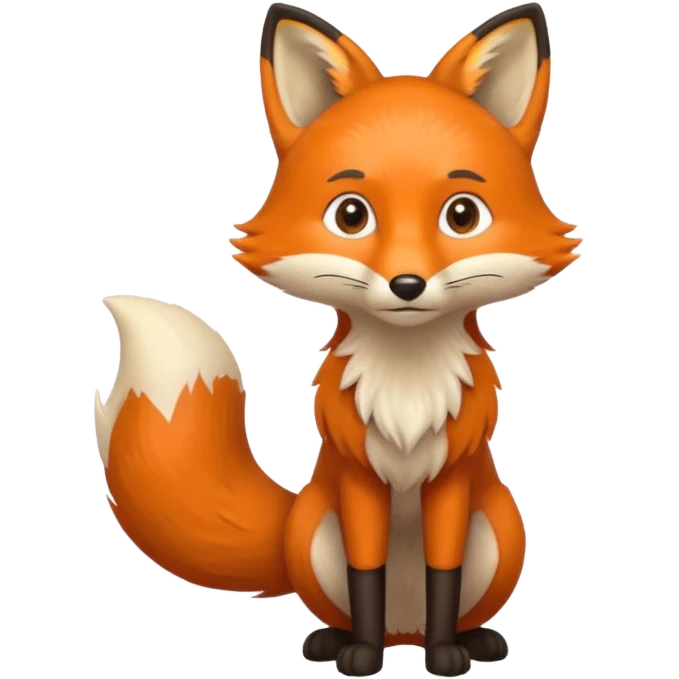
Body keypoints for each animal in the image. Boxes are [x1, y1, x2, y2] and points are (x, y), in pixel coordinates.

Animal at [94, 2, 581, 677]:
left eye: (462, 215)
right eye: (351, 215)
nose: (408, 284)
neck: (407, 385)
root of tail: (406, 631)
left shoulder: (451, 484)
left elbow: (445, 572)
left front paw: (446, 656)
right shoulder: (358, 481)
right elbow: (365, 571)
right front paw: (362, 656)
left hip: (501, 530)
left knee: (458, 604)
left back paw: (467, 639)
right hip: (314, 531)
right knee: (344, 604)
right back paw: (337, 639)